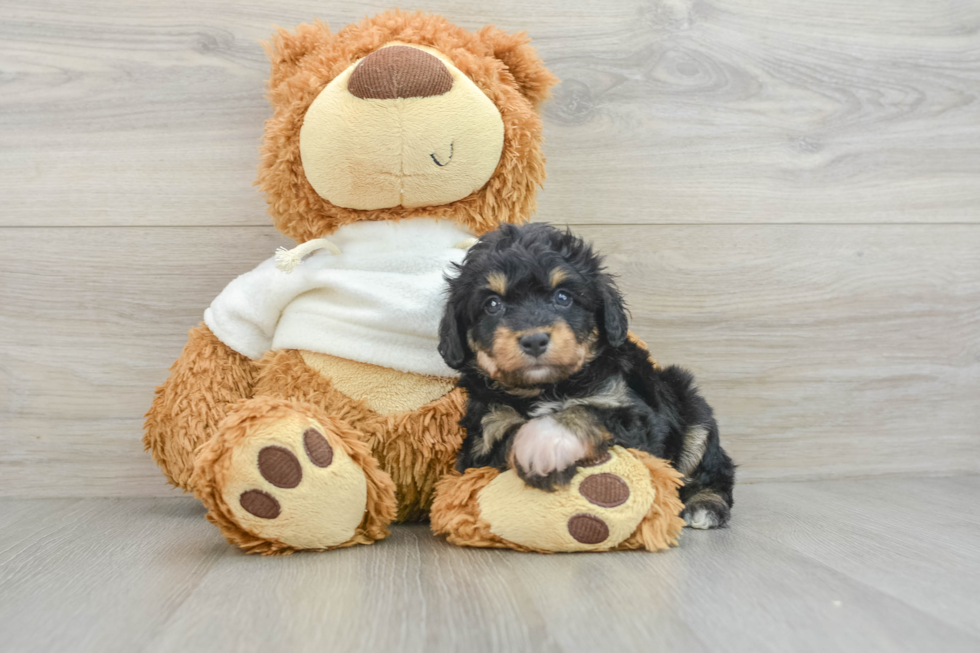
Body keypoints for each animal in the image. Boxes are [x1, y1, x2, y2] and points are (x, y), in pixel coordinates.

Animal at [438, 222, 736, 528]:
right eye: (493, 304)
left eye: (563, 297)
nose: (534, 340)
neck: (545, 388)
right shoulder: (483, 438)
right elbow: (508, 436)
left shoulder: (629, 413)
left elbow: (588, 411)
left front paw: (544, 441)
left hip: (691, 407)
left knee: (714, 467)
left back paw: (705, 504)